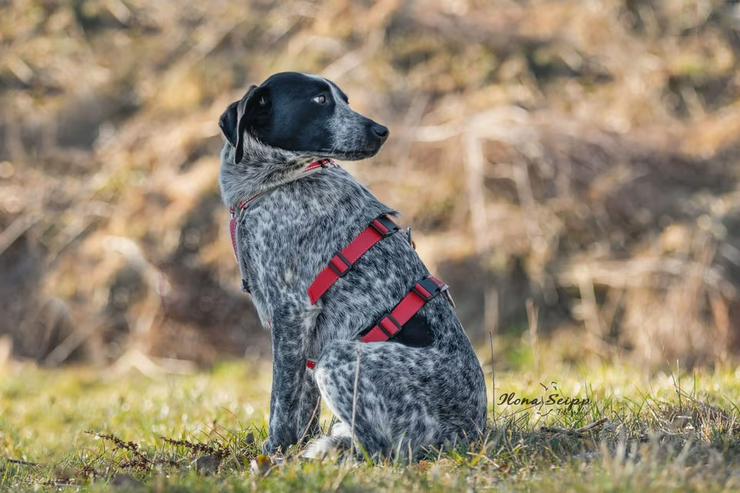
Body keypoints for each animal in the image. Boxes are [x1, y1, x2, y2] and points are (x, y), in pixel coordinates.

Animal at [217, 72, 488, 458]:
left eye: (344, 99)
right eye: (320, 100)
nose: (382, 130)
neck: (283, 178)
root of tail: (469, 433)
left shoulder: (291, 311)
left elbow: (281, 400)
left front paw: (276, 452)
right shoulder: (305, 330)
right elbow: (304, 404)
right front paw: (296, 445)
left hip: (337, 358)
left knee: (381, 452)